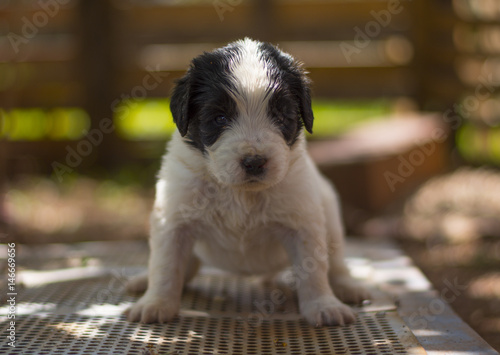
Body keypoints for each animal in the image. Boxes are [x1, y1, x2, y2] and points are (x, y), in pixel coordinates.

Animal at [126, 37, 368, 326]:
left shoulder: (303, 222)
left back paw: (347, 287)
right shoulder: (173, 220)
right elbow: (165, 265)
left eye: (280, 116)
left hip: (330, 215)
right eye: (220, 118)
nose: (254, 162)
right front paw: (157, 303)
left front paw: (323, 305)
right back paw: (143, 282)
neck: (240, 193)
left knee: (337, 262)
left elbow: (314, 269)